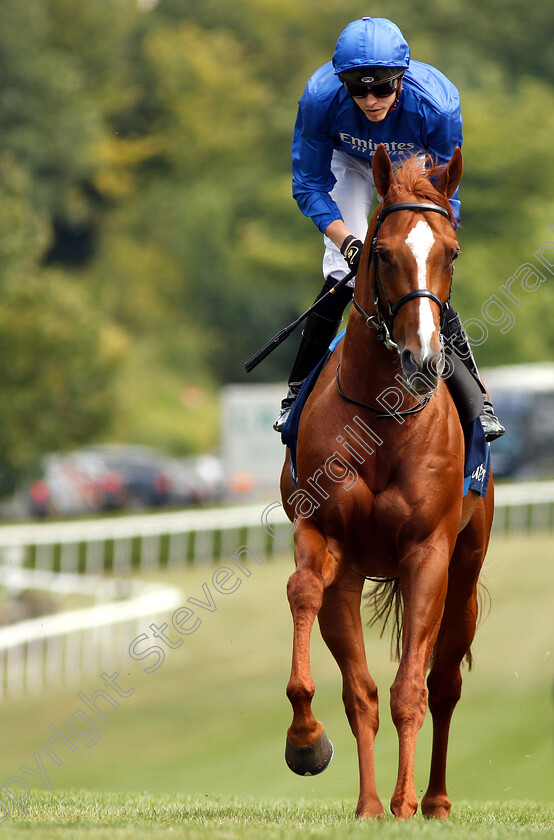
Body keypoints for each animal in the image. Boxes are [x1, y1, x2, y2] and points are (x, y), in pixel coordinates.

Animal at [280, 146, 492, 820]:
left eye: (451, 252)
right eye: (382, 253)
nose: (422, 360)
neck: (382, 415)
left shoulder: (427, 552)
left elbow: (410, 691)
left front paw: (402, 804)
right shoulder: (325, 539)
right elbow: (310, 606)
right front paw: (310, 746)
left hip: (466, 567)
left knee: (443, 683)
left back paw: (435, 800)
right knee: (365, 688)